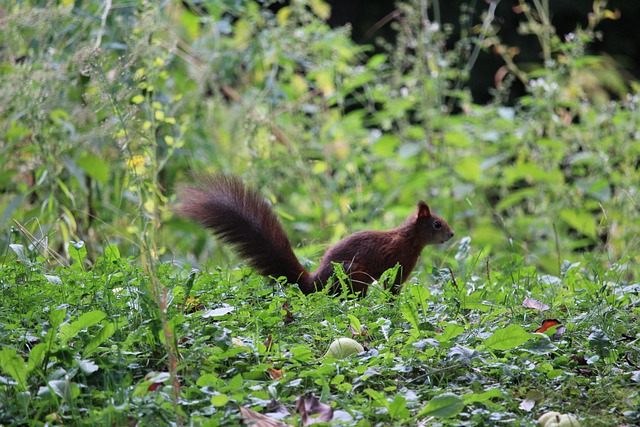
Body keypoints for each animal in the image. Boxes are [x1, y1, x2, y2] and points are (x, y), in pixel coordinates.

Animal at [176, 173, 455, 297]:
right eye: (437, 224)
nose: (452, 234)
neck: (409, 239)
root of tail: (314, 283)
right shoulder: (400, 262)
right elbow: (393, 287)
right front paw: (393, 302)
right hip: (355, 275)